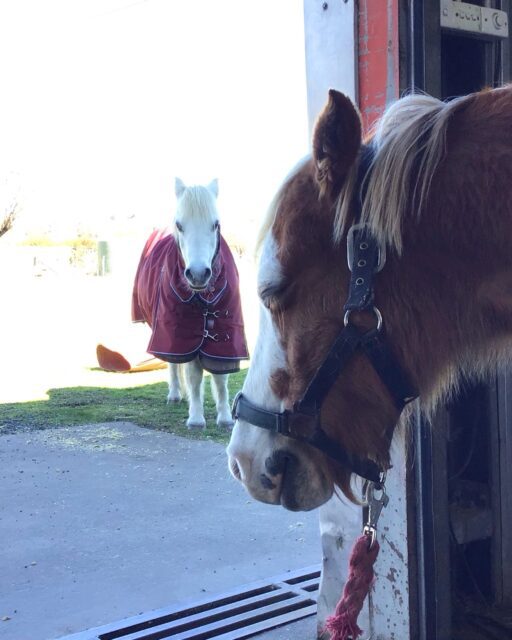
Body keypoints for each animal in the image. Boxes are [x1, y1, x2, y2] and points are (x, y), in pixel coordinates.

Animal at [132, 178, 249, 429]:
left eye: (215, 224)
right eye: (180, 225)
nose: (197, 274)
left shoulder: (225, 332)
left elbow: (221, 377)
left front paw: (225, 417)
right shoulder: (182, 331)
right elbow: (194, 375)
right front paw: (196, 418)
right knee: (173, 363)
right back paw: (175, 395)